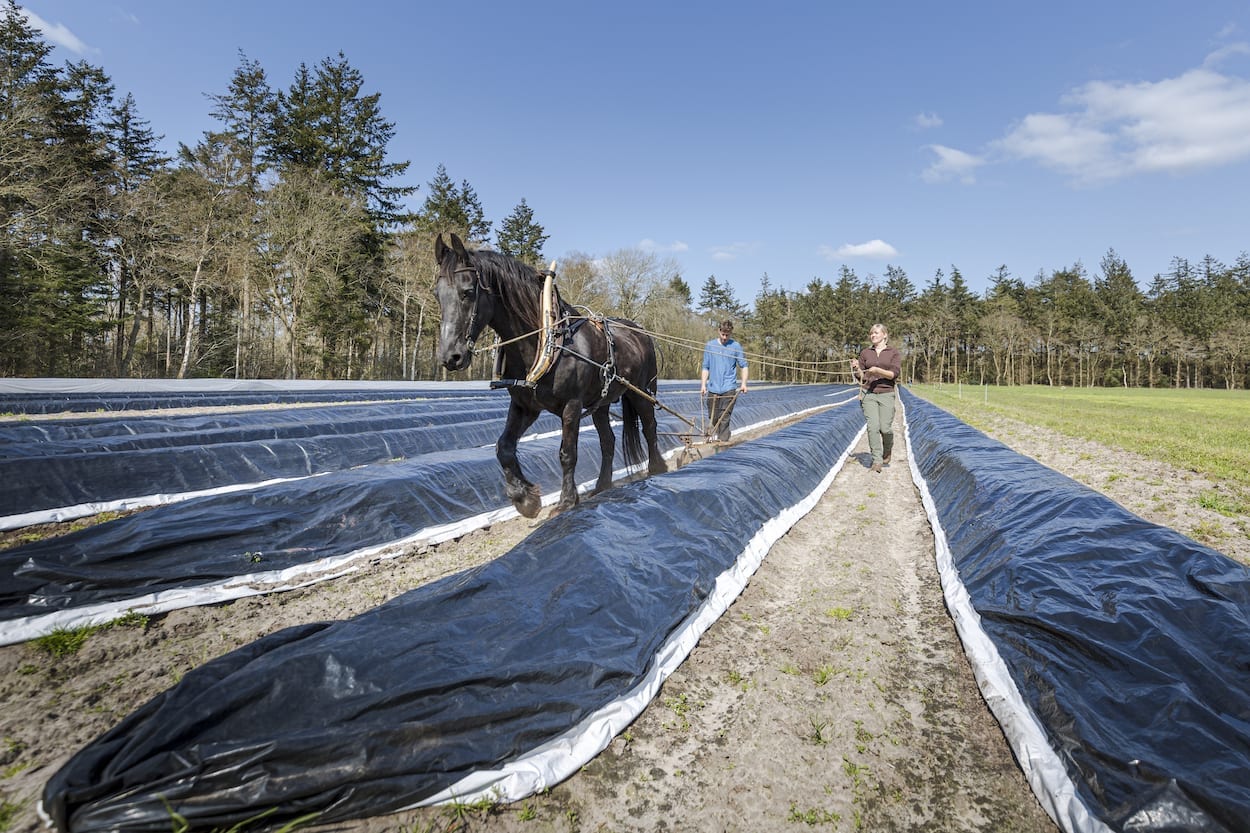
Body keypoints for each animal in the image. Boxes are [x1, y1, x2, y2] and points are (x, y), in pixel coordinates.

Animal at [432, 230, 665, 515]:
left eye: (467, 292)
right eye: (437, 295)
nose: (450, 357)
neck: (545, 342)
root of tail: (640, 332)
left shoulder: (571, 405)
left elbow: (567, 453)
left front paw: (566, 501)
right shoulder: (525, 406)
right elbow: (504, 446)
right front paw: (525, 499)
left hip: (642, 392)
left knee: (650, 428)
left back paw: (657, 471)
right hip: (600, 403)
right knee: (608, 441)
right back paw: (602, 486)